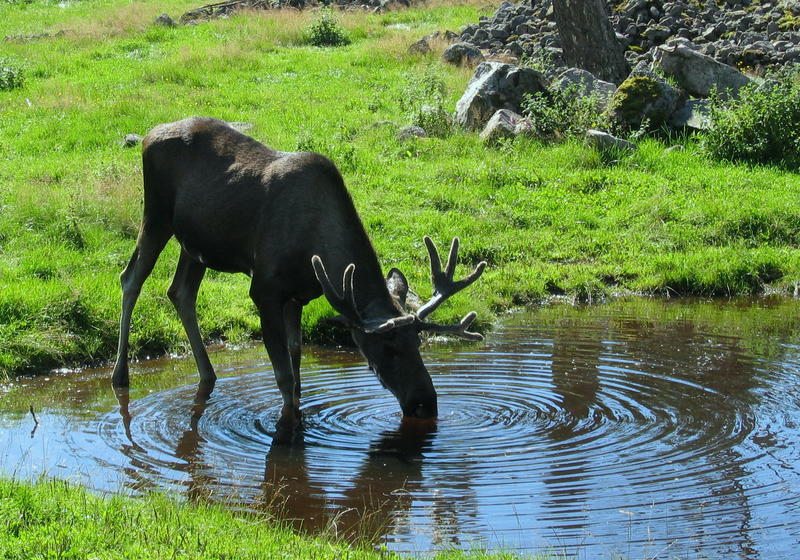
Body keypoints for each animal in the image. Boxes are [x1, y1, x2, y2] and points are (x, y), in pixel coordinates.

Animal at [112, 116, 488, 418]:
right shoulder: (264, 289)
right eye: (387, 347)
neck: (316, 252)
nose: (425, 402)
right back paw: (121, 375)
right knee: (131, 278)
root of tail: (148, 135)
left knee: (180, 292)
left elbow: (297, 368)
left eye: (418, 342)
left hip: (195, 243)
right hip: (156, 215)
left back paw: (208, 374)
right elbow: (283, 377)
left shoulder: (299, 296)